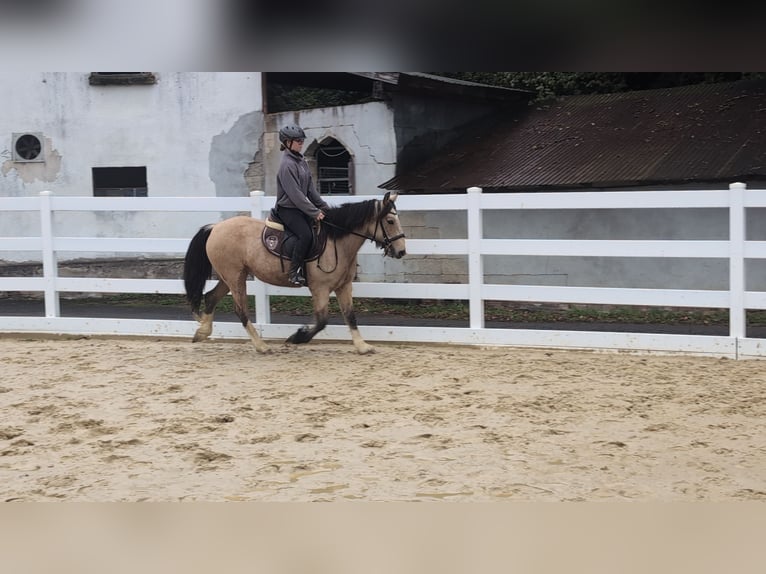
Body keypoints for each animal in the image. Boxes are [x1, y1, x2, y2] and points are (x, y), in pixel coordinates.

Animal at [183, 192, 406, 354]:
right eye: (390, 221)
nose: (401, 251)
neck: (336, 241)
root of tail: (215, 227)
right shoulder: (320, 288)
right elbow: (322, 320)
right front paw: (297, 337)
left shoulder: (344, 286)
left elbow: (350, 316)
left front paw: (362, 346)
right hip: (235, 277)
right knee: (241, 310)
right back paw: (261, 346)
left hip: (229, 276)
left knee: (211, 297)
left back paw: (202, 332)